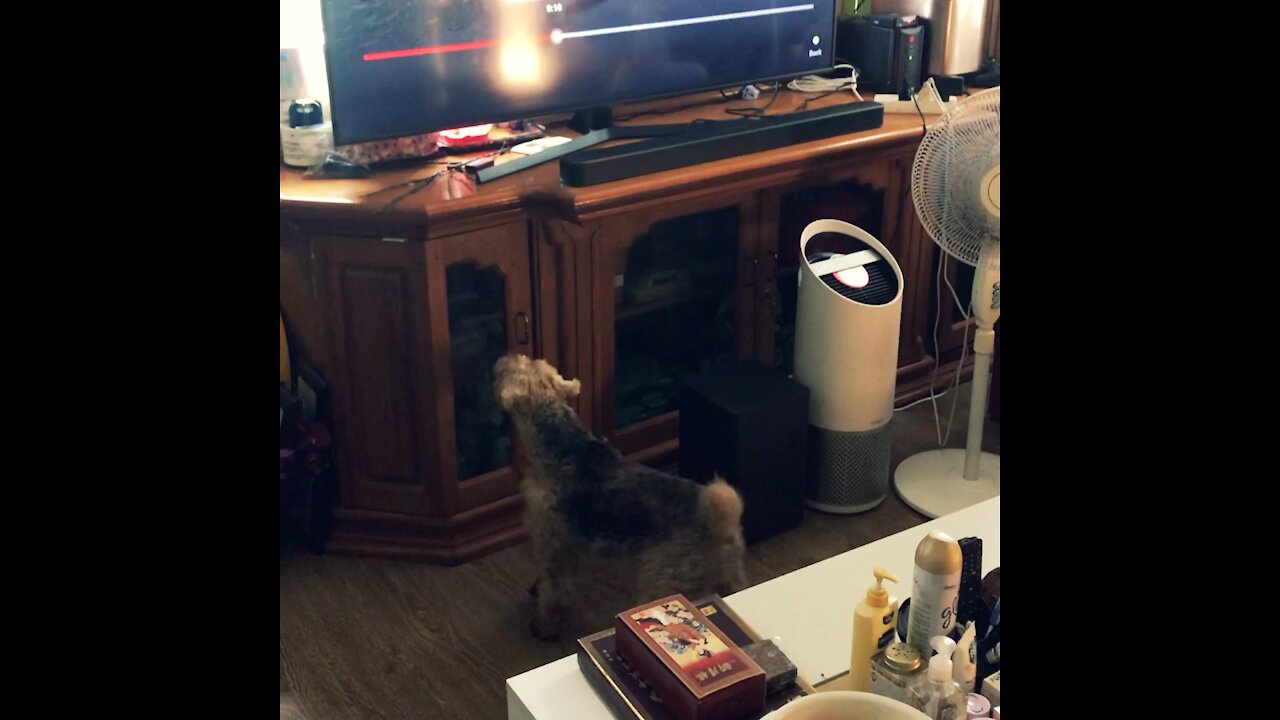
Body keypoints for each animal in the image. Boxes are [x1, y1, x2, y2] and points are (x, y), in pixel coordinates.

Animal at [491, 353, 747, 638]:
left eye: (516, 368)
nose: (510, 356)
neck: (565, 446)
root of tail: (718, 524)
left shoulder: (551, 542)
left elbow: (553, 592)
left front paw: (545, 626)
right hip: (729, 578)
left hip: (662, 582)